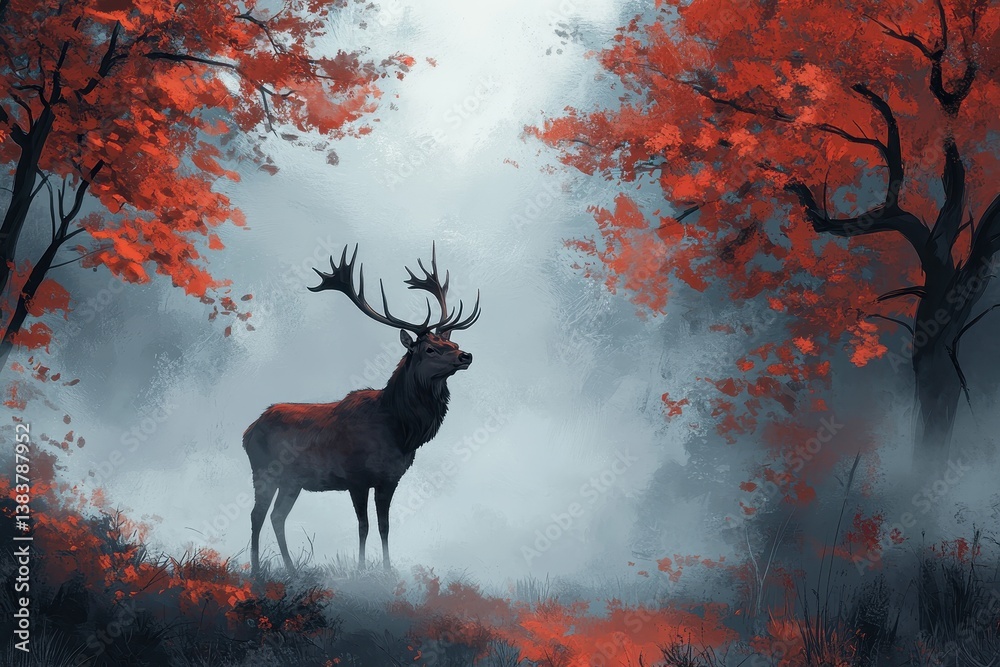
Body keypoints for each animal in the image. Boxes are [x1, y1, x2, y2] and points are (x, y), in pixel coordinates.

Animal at [243, 244, 480, 577]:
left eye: (453, 342)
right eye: (430, 348)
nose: (466, 355)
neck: (400, 431)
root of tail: (248, 430)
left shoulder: (389, 478)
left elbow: (384, 526)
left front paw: (387, 571)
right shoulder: (355, 476)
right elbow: (363, 526)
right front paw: (360, 571)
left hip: (292, 480)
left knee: (278, 516)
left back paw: (292, 570)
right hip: (262, 469)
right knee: (257, 515)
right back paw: (256, 571)